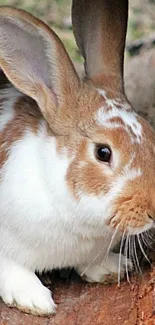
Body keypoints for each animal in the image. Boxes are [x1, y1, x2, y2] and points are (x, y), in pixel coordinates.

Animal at [0, 0, 155, 316]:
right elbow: (11, 267)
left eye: (151, 134)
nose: (152, 210)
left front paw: (111, 268)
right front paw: (33, 299)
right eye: (103, 152)